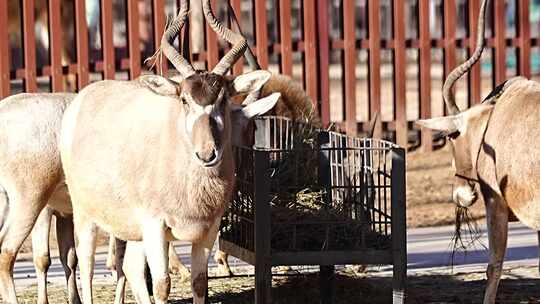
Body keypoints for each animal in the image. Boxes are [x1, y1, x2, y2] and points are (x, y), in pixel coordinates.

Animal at [58, 0, 278, 302]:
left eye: (222, 99)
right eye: (184, 99)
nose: (207, 154)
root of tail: (81, 100)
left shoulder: (206, 231)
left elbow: (199, 283)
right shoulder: (155, 227)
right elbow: (162, 284)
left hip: (132, 230)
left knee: (131, 267)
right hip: (85, 214)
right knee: (87, 264)